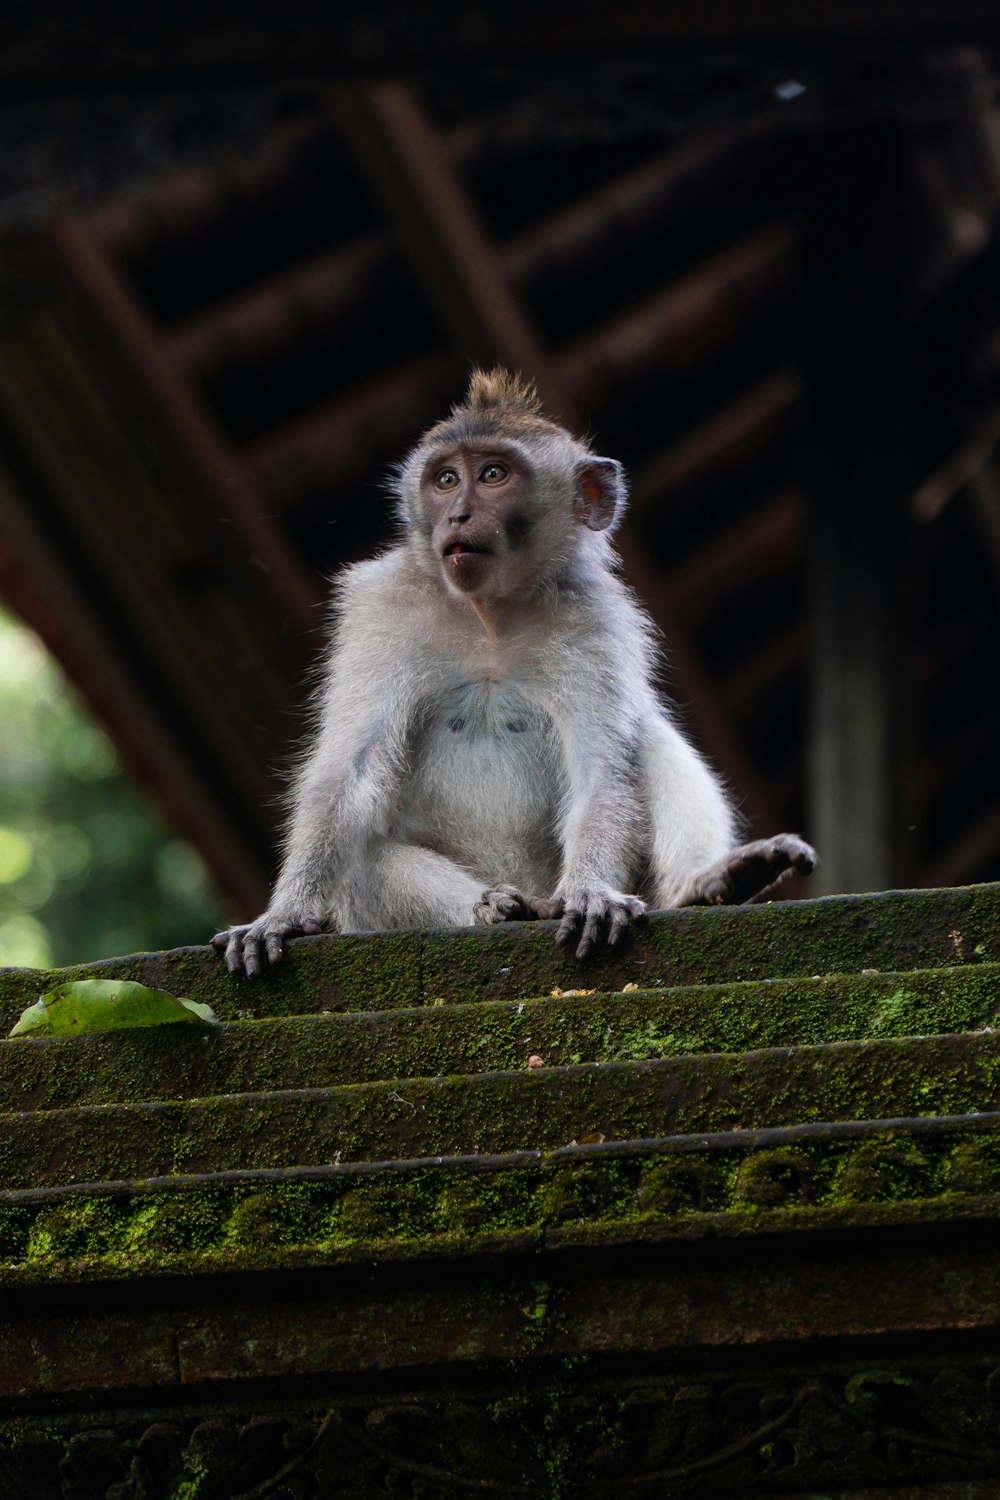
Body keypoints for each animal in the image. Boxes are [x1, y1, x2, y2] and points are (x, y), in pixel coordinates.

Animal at [212, 363, 815, 972]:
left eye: (494, 475)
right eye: (446, 480)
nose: (458, 514)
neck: (490, 618)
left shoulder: (597, 623)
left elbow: (600, 768)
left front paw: (592, 892)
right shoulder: (382, 613)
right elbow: (347, 771)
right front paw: (284, 915)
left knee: (645, 737)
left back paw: (706, 881)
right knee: (360, 852)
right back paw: (496, 906)